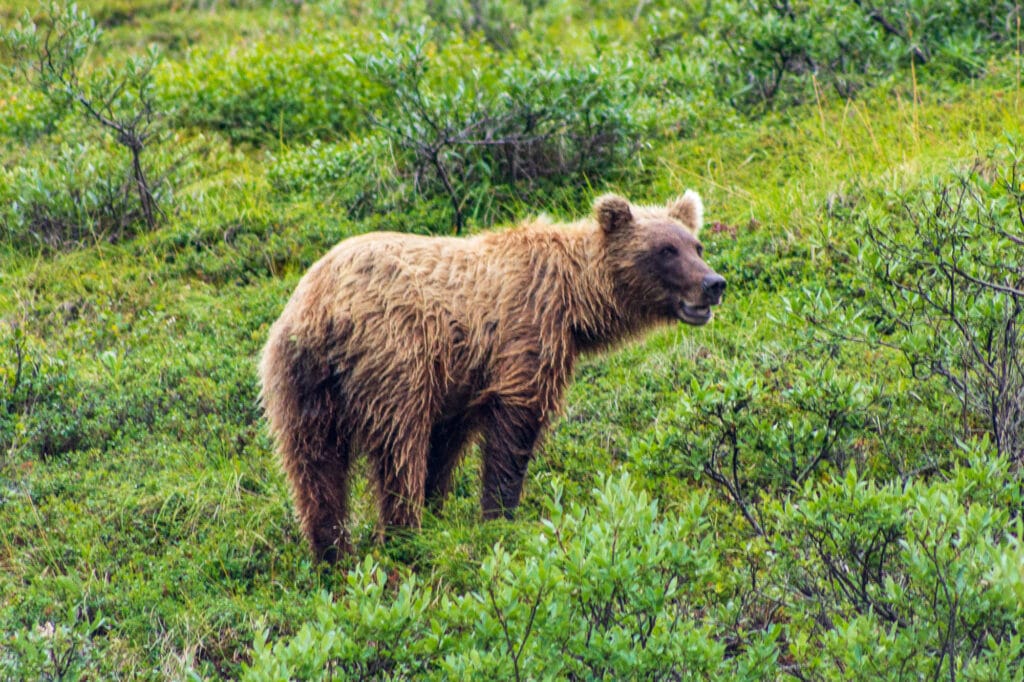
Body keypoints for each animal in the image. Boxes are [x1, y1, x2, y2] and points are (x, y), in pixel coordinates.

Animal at [260, 191, 724, 557]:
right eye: (666, 250)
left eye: (696, 246)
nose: (714, 283)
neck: (574, 302)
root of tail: (323, 308)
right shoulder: (524, 338)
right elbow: (512, 433)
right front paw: (498, 517)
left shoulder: (459, 381)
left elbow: (443, 447)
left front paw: (438, 507)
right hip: (394, 358)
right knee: (398, 448)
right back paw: (403, 536)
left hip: (299, 383)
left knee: (313, 466)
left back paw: (331, 551)